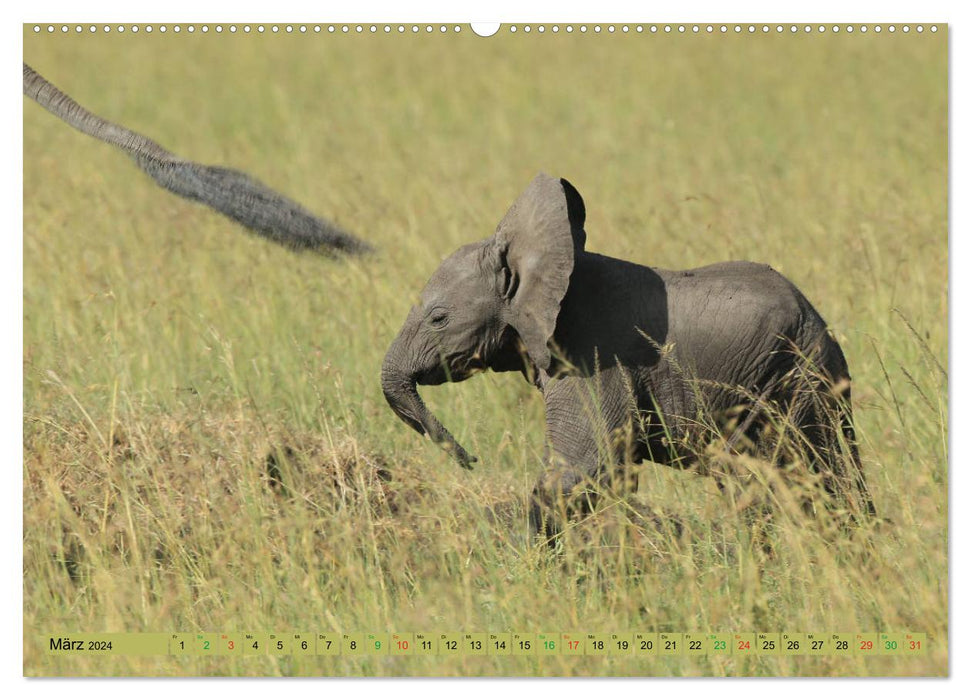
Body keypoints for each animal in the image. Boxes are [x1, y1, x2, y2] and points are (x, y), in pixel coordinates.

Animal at [384, 172, 876, 532]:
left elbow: (582, 471)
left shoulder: (592, 359)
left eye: (438, 319)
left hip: (799, 379)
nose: (470, 460)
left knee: (814, 473)